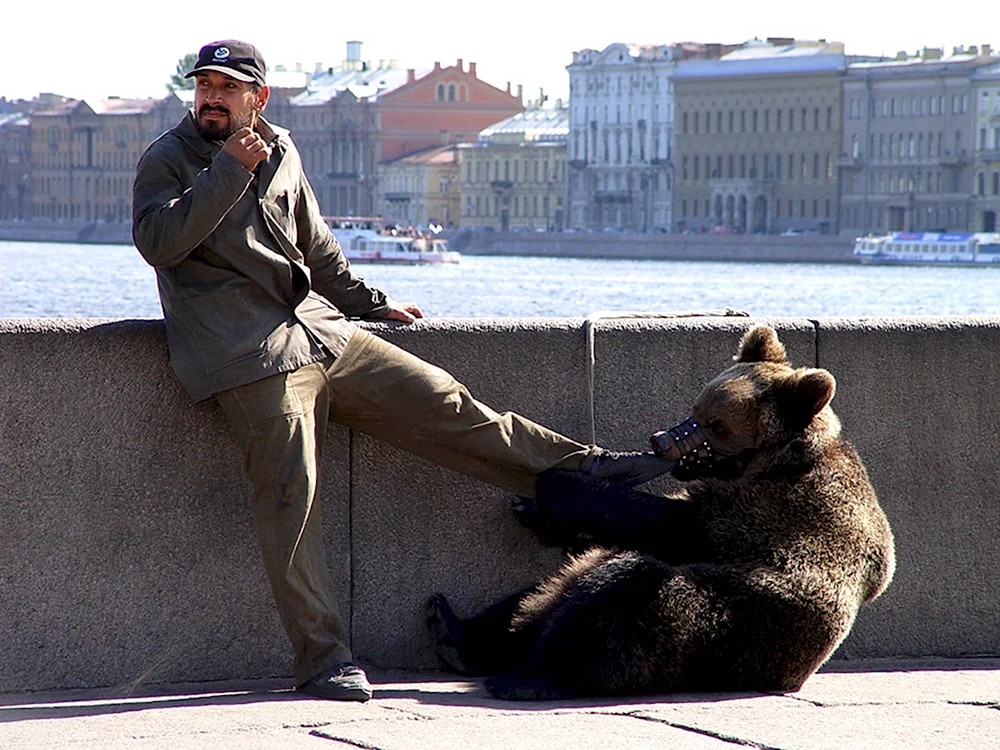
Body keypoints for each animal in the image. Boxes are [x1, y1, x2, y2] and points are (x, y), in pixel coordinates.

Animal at [426, 326, 896, 704]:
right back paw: (453, 631)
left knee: (619, 601)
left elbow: (669, 522)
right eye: (698, 405)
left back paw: (526, 678)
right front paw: (531, 509)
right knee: (543, 593)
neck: (767, 463)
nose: (662, 441)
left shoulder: (773, 510)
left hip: (730, 630)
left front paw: (557, 486)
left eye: (719, 425)